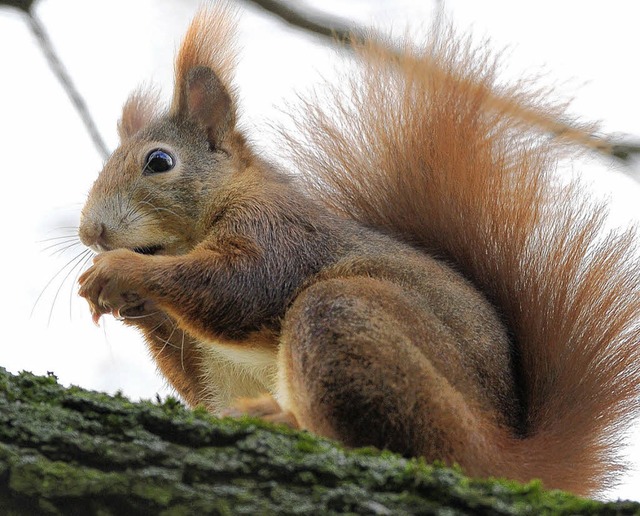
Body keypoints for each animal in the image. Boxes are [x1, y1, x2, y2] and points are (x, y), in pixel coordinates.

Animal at [77, 3, 640, 496]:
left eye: (159, 162)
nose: (90, 233)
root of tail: (508, 455)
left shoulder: (280, 232)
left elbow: (239, 287)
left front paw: (121, 270)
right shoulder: (221, 363)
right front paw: (125, 301)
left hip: (354, 330)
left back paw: (284, 419)